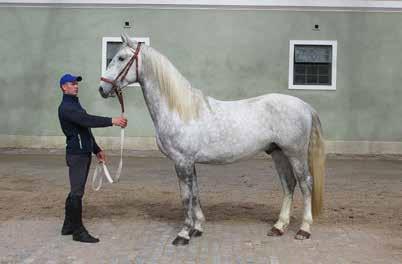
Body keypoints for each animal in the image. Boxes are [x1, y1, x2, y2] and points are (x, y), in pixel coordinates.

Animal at [98, 33, 326, 245]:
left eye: (121, 57)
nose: (102, 89)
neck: (179, 109)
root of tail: (305, 106)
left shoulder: (181, 161)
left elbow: (186, 196)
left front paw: (183, 234)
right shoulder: (190, 162)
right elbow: (195, 193)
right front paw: (197, 228)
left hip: (295, 154)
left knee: (305, 184)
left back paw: (304, 230)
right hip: (278, 153)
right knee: (288, 185)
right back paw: (278, 227)